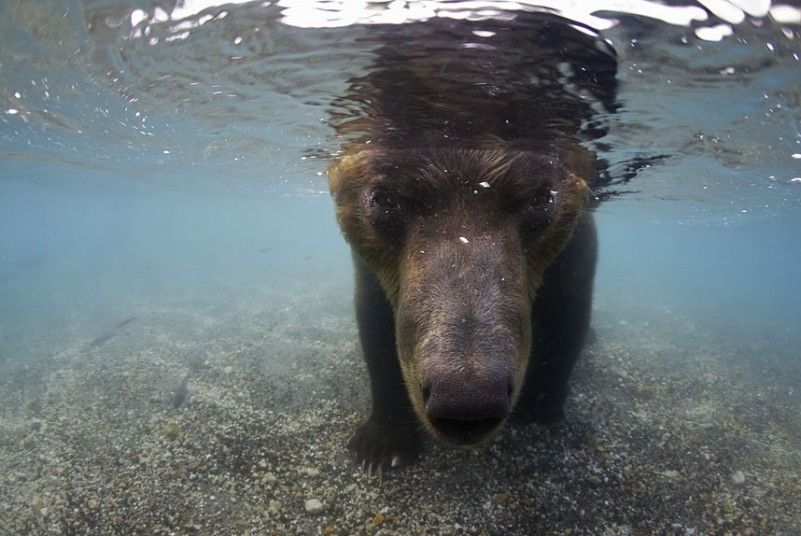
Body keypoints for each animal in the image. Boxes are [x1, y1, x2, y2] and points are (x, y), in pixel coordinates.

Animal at [328, 10, 616, 472]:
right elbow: (377, 325)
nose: (466, 399)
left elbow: (567, 312)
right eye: (386, 198)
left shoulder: (572, 246)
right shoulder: (374, 263)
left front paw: (538, 406)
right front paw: (382, 444)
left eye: (540, 199)